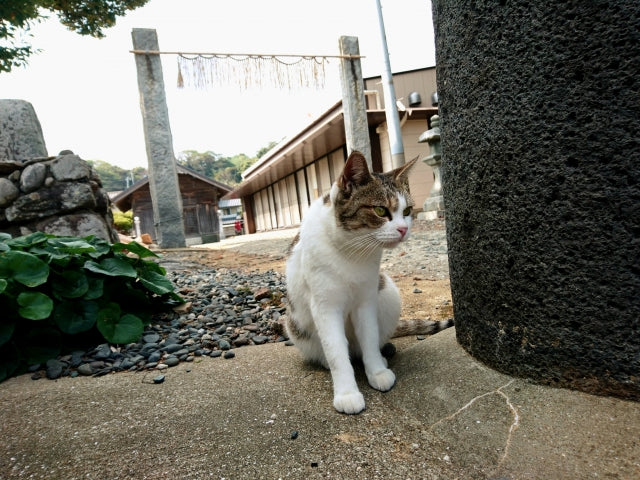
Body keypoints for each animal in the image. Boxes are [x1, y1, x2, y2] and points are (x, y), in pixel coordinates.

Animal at [284, 150, 450, 412]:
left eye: (407, 211)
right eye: (381, 211)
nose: (403, 229)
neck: (352, 251)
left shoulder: (367, 299)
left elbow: (370, 338)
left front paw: (377, 372)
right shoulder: (325, 306)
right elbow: (336, 352)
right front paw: (347, 392)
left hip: (388, 292)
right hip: (294, 326)